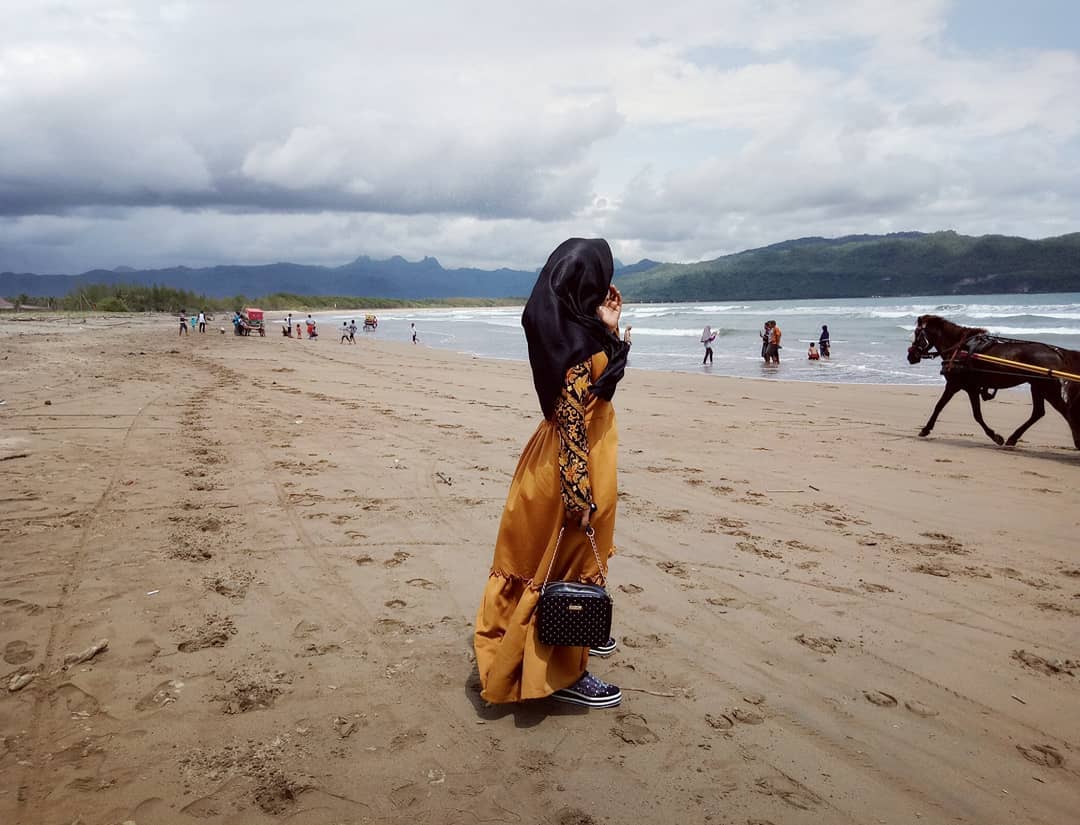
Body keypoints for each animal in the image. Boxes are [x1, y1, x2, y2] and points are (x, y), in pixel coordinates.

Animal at [907, 313, 1080, 447]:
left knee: (1065, 411)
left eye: (916, 334)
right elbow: (952, 408)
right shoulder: (967, 387)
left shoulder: (959, 385)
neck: (959, 348)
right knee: (1038, 412)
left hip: (1046, 387)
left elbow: (950, 408)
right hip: (1037, 386)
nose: (911, 356)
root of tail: (1057, 352)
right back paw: (1013, 438)